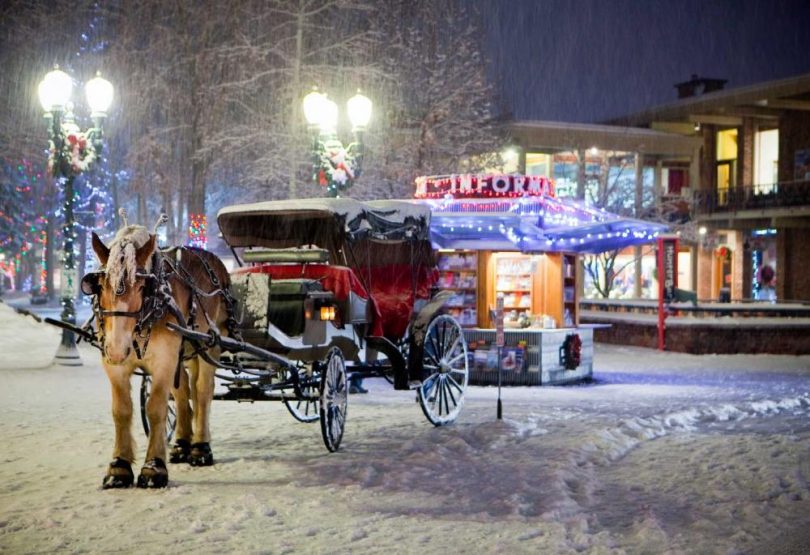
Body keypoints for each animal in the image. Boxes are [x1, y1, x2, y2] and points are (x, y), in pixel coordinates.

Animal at [85, 224, 234, 488]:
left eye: (141, 287)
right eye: (100, 286)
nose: (117, 349)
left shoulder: (164, 361)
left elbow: (156, 408)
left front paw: (153, 468)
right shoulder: (114, 367)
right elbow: (121, 410)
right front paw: (119, 467)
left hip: (209, 343)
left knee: (202, 391)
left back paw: (200, 447)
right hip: (183, 351)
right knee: (184, 392)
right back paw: (182, 444)